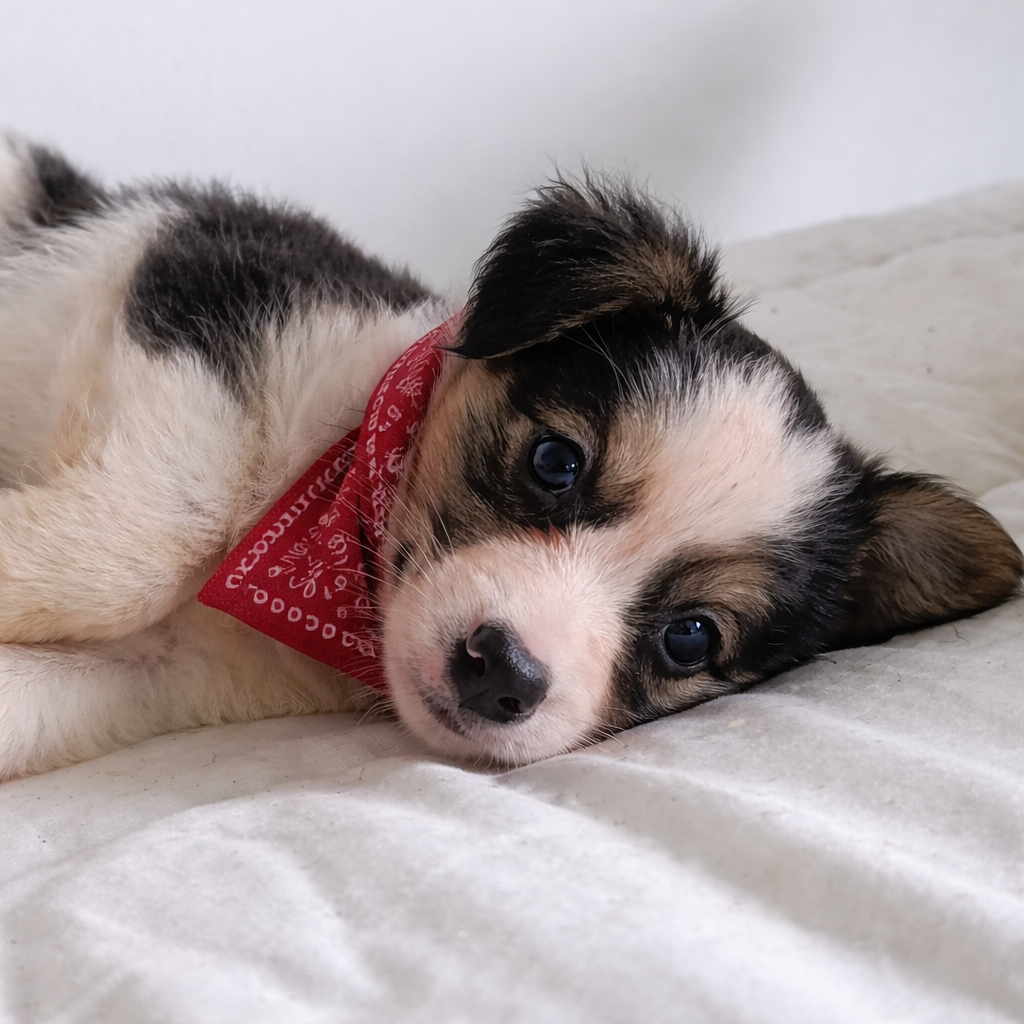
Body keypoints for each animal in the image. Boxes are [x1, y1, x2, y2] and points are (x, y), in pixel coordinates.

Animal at [0, 137, 1020, 780]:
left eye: (691, 637)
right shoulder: (196, 278)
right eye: (556, 461)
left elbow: (43, 690)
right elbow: (141, 548)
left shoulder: (173, 670)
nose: (500, 672)